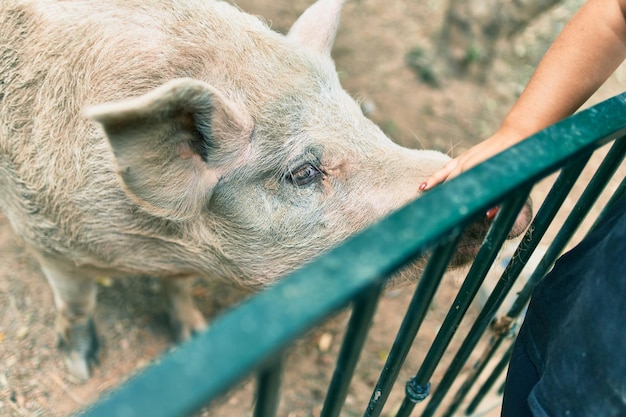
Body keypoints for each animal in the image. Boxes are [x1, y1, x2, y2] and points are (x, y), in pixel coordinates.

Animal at [0, 0, 528, 378]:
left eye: (363, 118)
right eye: (303, 172)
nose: (515, 208)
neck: (157, 245)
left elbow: (178, 288)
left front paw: (192, 333)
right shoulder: (44, 234)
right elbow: (76, 305)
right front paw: (81, 368)